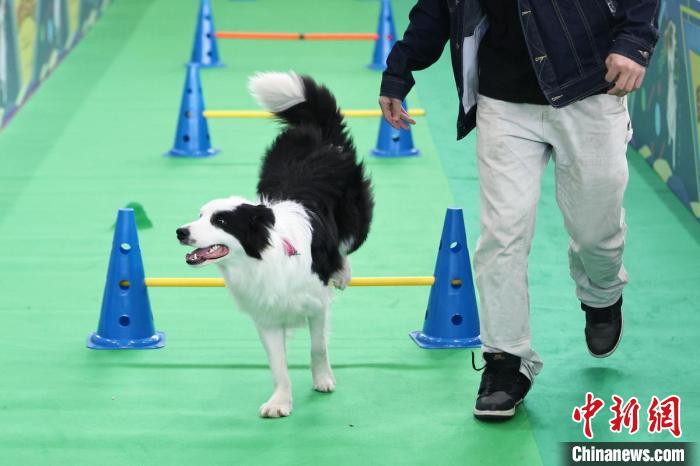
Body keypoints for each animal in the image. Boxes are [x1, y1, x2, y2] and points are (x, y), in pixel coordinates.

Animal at [176, 73, 372, 418]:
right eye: (200, 215)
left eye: (221, 221)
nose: (180, 232)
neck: (261, 260)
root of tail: (317, 131)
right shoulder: (266, 315)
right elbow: (278, 365)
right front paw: (280, 402)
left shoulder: (317, 304)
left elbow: (318, 346)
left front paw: (323, 380)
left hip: (356, 214)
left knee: (346, 244)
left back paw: (341, 272)